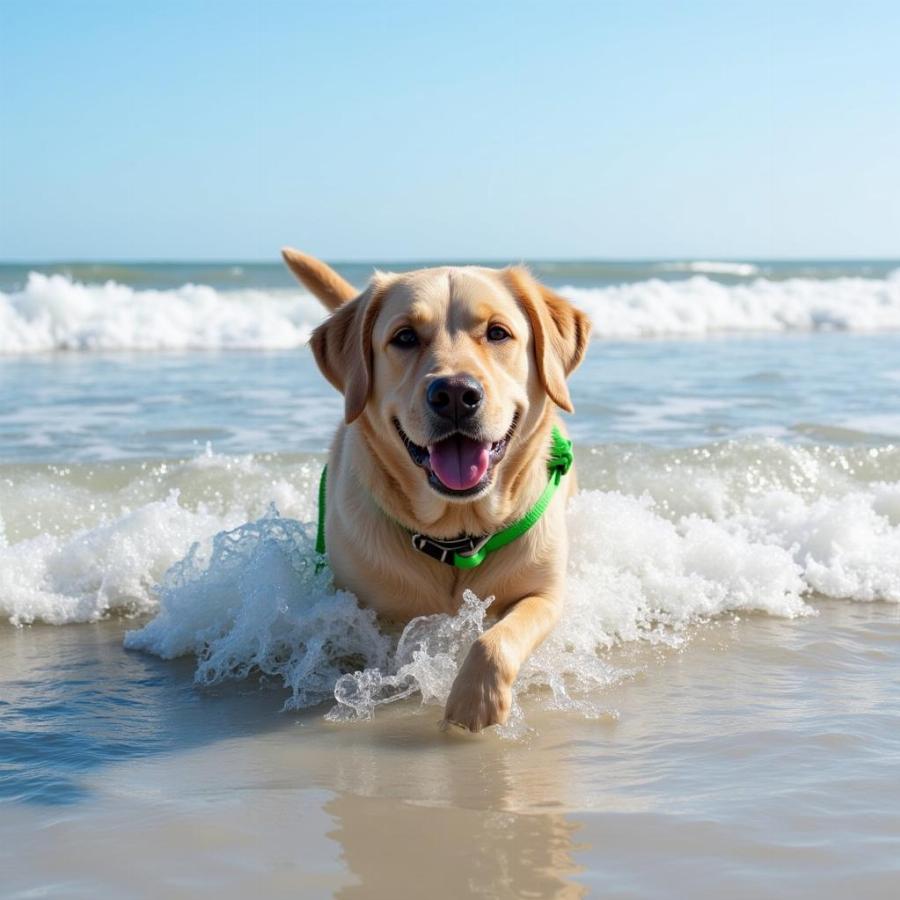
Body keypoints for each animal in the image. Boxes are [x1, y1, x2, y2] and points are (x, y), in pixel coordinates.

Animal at [284, 248, 592, 732]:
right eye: (405, 336)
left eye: (498, 332)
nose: (454, 393)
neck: (457, 534)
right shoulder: (360, 606)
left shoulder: (545, 591)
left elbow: (497, 637)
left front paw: (474, 699)